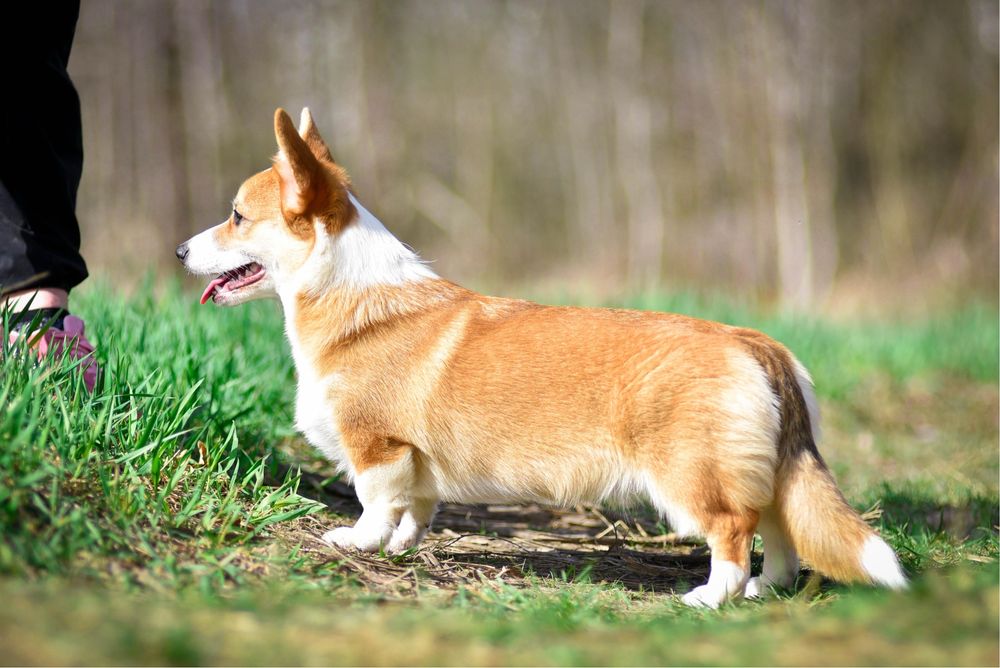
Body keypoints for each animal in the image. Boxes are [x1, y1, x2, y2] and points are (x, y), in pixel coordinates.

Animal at [176, 108, 912, 604]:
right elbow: (416, 509)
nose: (179, 251)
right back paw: (768, 589)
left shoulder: (376, 445)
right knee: (782, 530)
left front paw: (356, 543)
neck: (350, 288)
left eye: (237, 216)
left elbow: (374, 500)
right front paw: (401, 548)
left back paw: (713, 596)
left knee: (734, 529)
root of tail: (756, 344)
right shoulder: (415, 463)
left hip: (691, 477)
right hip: (774, 471)